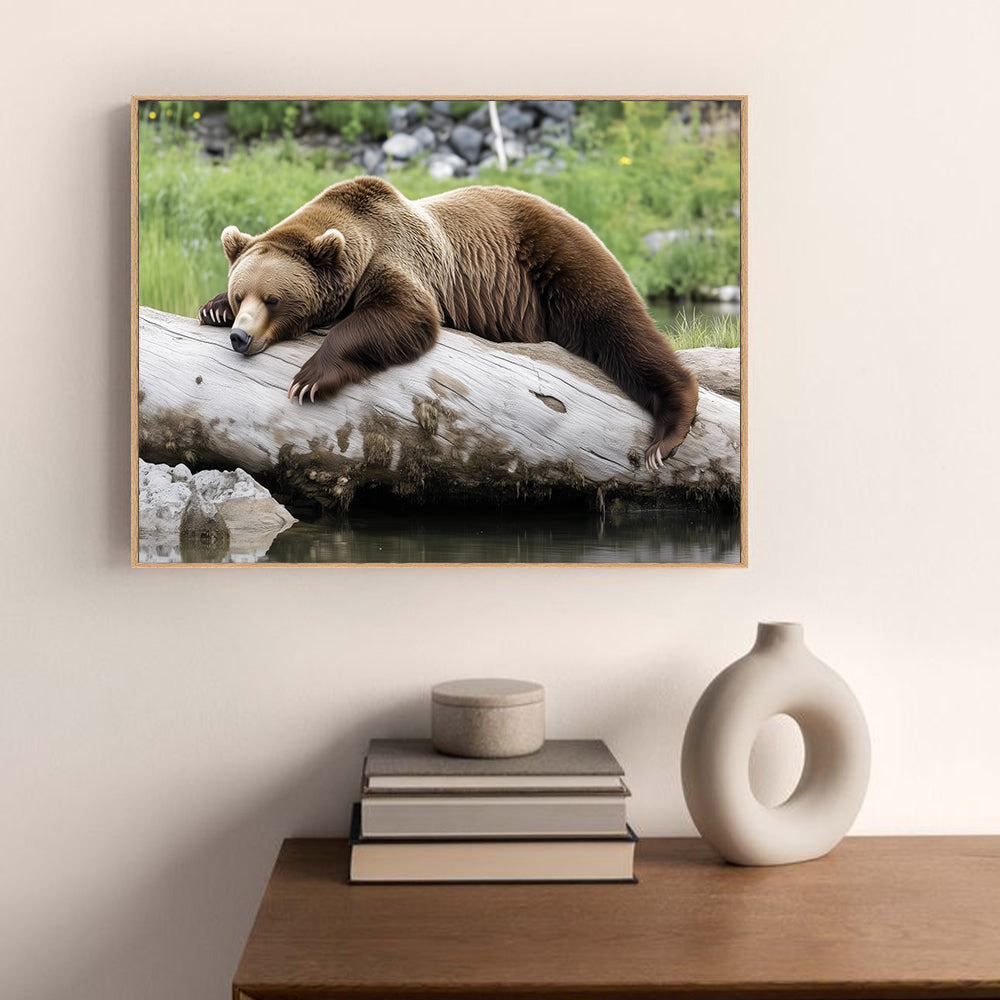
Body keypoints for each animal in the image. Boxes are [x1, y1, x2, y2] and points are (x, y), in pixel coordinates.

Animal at [198, 176, 698, 470]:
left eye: (273, 299)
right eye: (242, 294)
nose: (241, 336)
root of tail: (561, 208)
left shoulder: (398, 258)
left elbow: (403, 316)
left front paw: (309, 379)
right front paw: (211, 308)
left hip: (556, 261)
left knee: (617, 323)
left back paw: (667, 433)